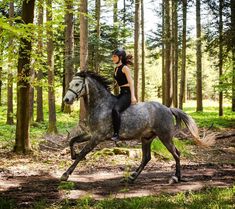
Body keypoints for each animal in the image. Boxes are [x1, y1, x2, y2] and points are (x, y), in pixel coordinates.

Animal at [61, 71, 215, 184]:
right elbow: (72, 141)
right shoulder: (91, 134)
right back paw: (133, 177)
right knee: (146, 157)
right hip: (147, 138)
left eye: (77, 84)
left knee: (176, 154)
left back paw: (175, 177)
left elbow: (83, 153)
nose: (66, 100)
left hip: (165, 136)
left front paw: (66, 174)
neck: (101, 105)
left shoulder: (97, 137)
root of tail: (168, 108)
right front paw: (73, 155)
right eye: (70, 83)